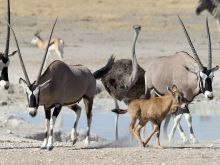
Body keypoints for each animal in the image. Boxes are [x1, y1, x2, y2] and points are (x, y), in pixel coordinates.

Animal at [8, 18, 96, 150]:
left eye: (38, 92)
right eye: (26, 93)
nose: (32, 113)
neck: (51, 84)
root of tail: (90, 73)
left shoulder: (58, 105)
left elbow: (52, 122)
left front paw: (50, 144)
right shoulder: (47, 107)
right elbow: (46, 123)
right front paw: (43, 144)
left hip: (88, 98)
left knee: (89, 116)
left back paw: (87, 142)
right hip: (70, 102)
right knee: (78, 110)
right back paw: (73, 138)